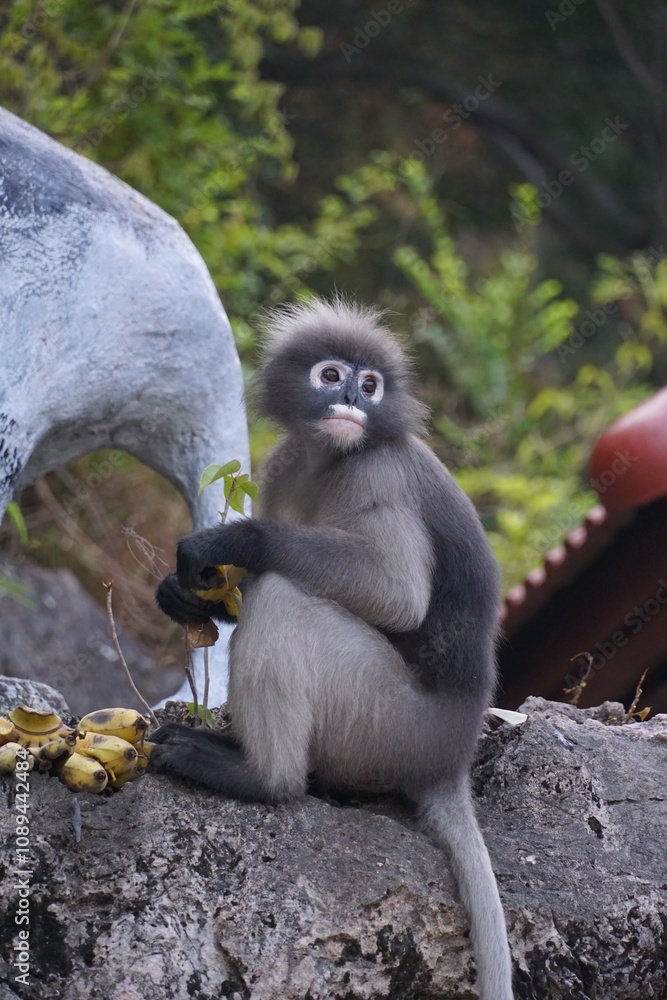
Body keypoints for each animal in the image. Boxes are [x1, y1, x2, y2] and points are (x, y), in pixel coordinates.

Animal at [152, 298, 514, 1000]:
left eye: (369, 386)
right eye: (331, 375)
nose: (350, 397)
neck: (330, 458)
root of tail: (451, 754)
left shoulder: (380, 471)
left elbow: (396, 596)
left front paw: (231, 542)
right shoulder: (284, 462)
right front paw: (184, 595)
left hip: (385, 724)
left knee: (285, 597)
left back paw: (261, 778)